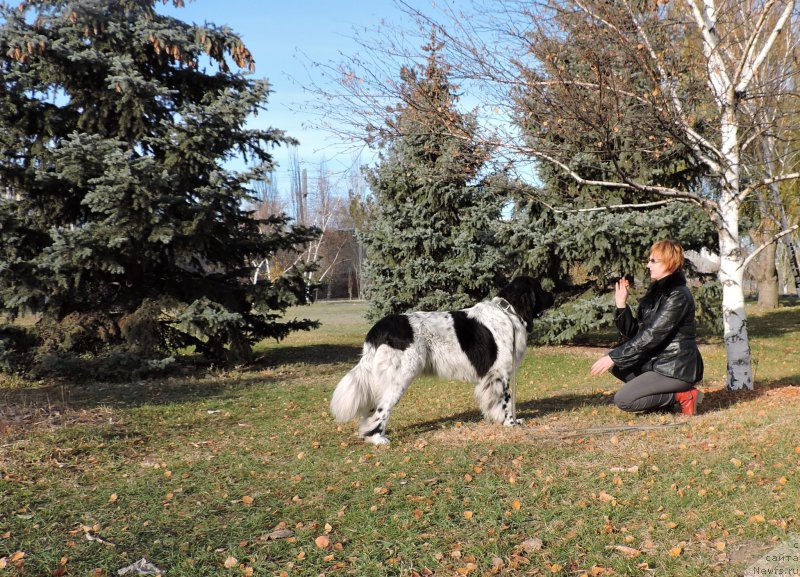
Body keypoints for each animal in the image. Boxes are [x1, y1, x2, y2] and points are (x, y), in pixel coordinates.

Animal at [328, 280, 552, 446]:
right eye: (540, 289)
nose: (554, 295)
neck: (509, 311)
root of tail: (380, 327)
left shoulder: (489, 377)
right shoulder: (500, 373)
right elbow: (505, 401)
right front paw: (510, 423)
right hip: (399, 377)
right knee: (382, 409)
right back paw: (378, 439)